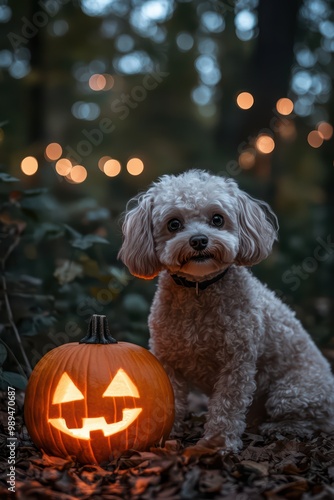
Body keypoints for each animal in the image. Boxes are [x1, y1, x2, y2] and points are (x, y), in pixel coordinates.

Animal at [118, 170, 334, 452]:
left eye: (217, 219)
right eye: (173, 224)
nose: (199, 240)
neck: (199, 289)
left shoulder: (237, 363)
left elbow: (227, 407)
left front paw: (217, 444)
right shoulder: (168, 361)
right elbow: (170, 400)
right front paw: (164, 437)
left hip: (292, 393)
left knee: (317, 422)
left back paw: (281, 428)